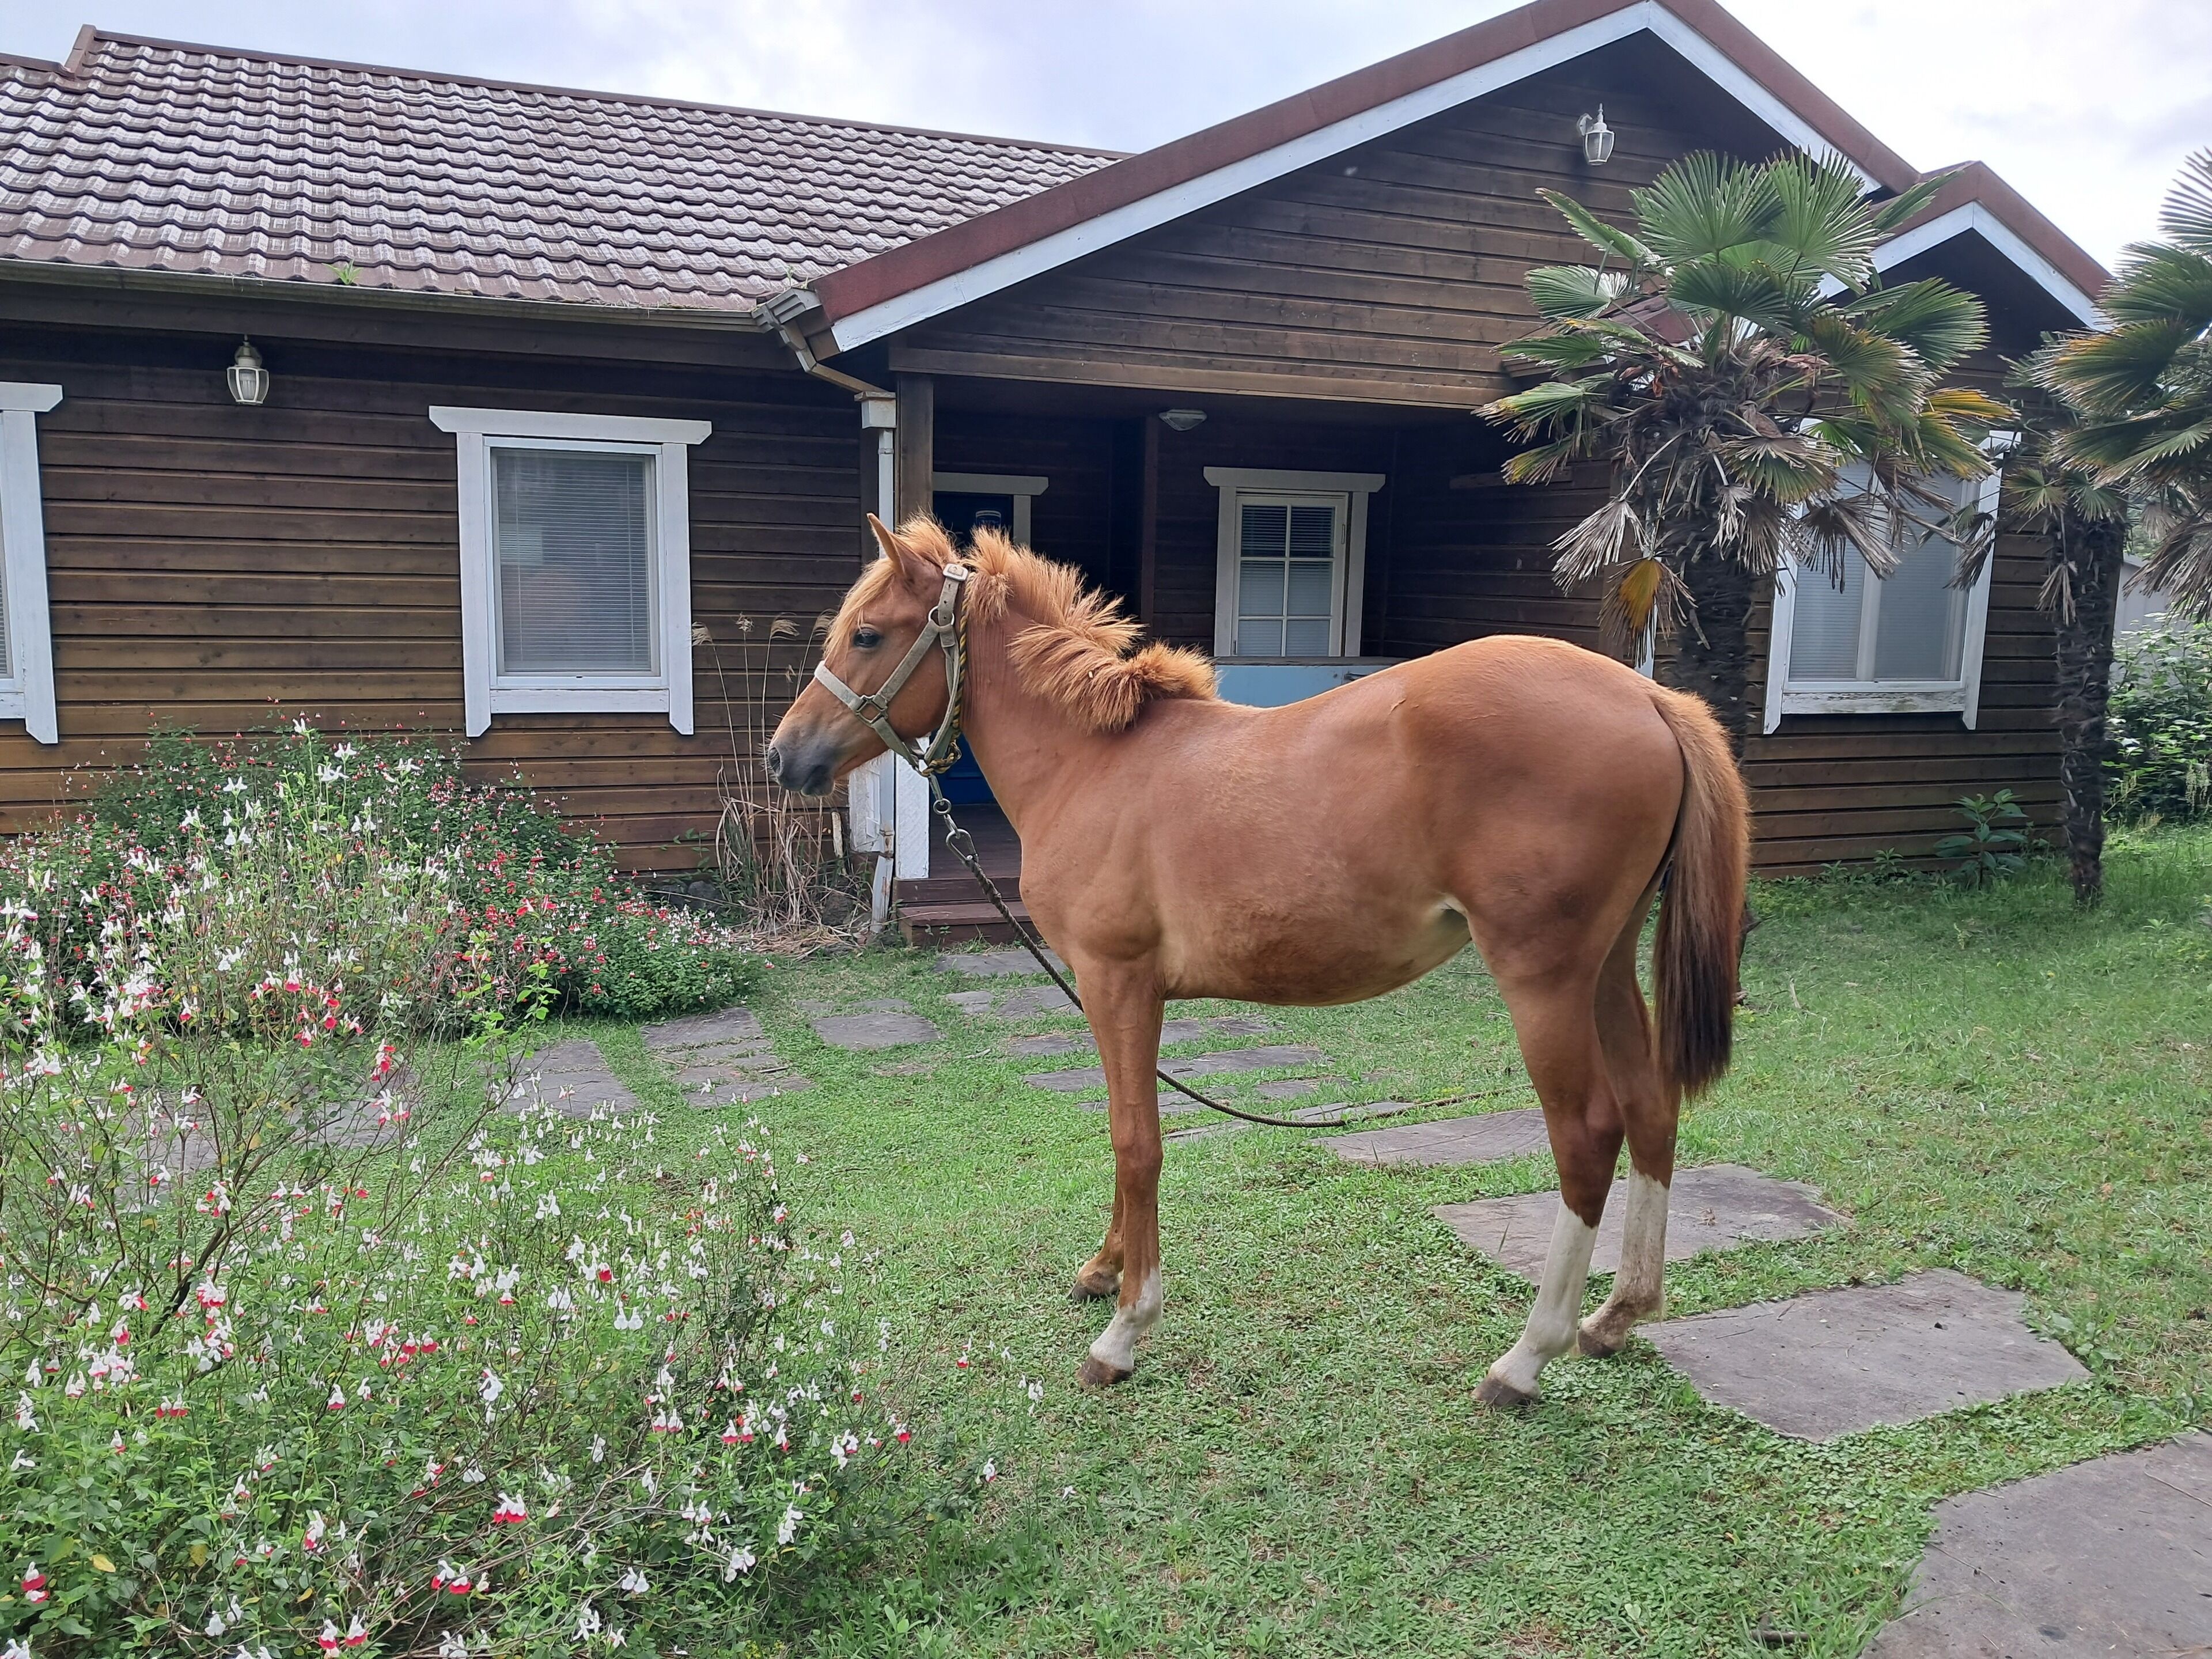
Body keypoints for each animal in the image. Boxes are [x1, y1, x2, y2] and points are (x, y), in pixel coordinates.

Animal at [767, 515, 1748, 1406]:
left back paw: (1524, 1359)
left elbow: (1137, 1142)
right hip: (1607, 967)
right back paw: (1617, 1315)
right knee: (1651, 1108)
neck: (1092, 762)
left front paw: (1124, 1329)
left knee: (1586, 1136)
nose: (785, 758)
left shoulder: (1118, 981)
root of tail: (1650, 699)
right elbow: (1125, 1128)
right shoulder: (1117, 993)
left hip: (1543, 979)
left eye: (867, 633)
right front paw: (1104, 1269)